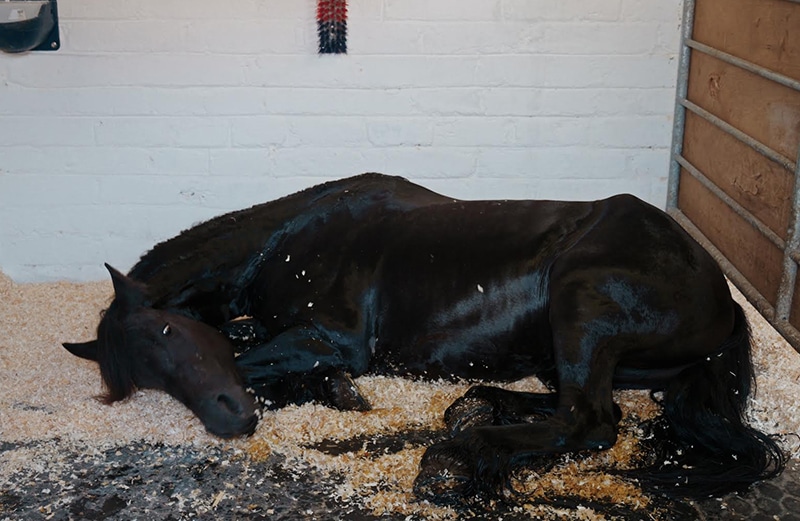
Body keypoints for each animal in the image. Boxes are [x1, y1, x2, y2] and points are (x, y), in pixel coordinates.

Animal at [64, 174, 788, 500]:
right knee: (574, 406)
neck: (284, 242)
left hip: (581, 303)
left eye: (166, 330)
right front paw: (331, 391)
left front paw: (327, 387)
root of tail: (721, 294)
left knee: (590, 420)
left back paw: (463, 449)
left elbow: (253, 356)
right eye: (139, 380)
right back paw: (480, 404)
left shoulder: (335, 335)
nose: (231, 420)